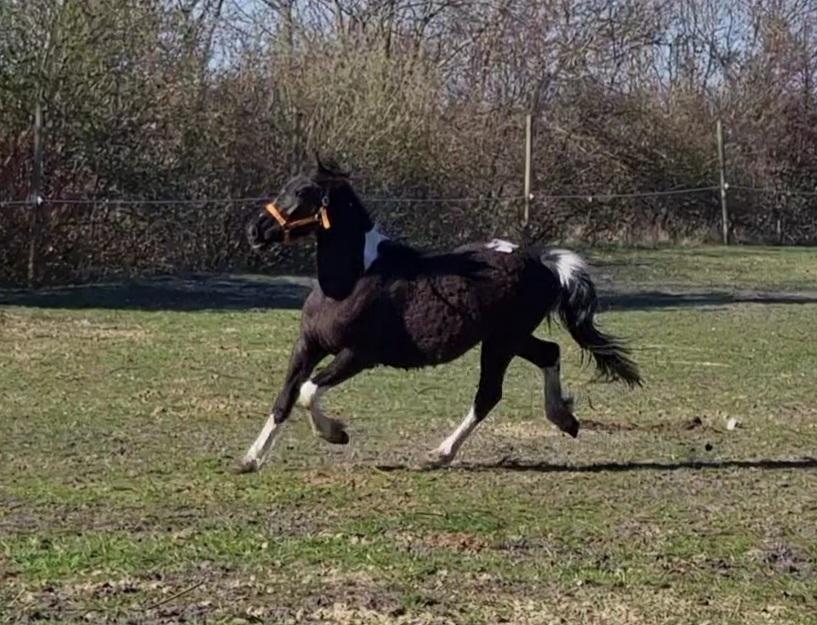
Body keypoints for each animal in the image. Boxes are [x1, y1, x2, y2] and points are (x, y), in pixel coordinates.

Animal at [239, 157, 640, 472]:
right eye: (286, 186)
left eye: (303, 192)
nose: (255, 231)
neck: (353, 279)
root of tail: (540, 261)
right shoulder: (308, 345)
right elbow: (285, 398)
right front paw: (251, 459)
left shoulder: (359, 355)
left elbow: (307, 392)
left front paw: (336, 433)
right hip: (509, 338)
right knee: (549, 353)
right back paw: (564, 418)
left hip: (501, 342)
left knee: (489, 394)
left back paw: (440, 453)